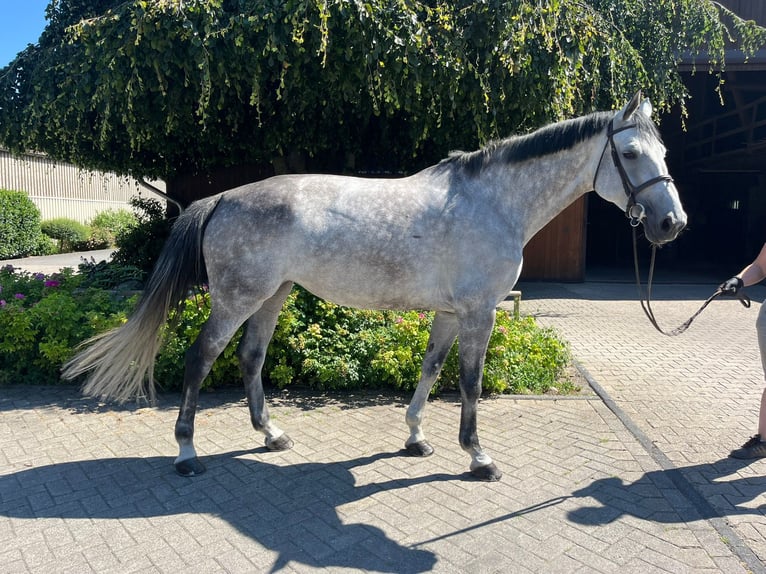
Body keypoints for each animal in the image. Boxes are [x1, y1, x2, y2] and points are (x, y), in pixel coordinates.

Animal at [62, 92, 687, 481]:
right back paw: (188, 453)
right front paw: (478, 457)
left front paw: (415, 438)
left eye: (662, 152)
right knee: (199, 359)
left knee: (250, 358)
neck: (493, 202)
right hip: (238, 299)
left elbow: (431, 369)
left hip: (273, 296)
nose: (671, 224)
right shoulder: (479, 313)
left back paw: (272, 435)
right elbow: (469, 383)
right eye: (630, 152)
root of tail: (222, 198)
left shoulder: (449, 313)